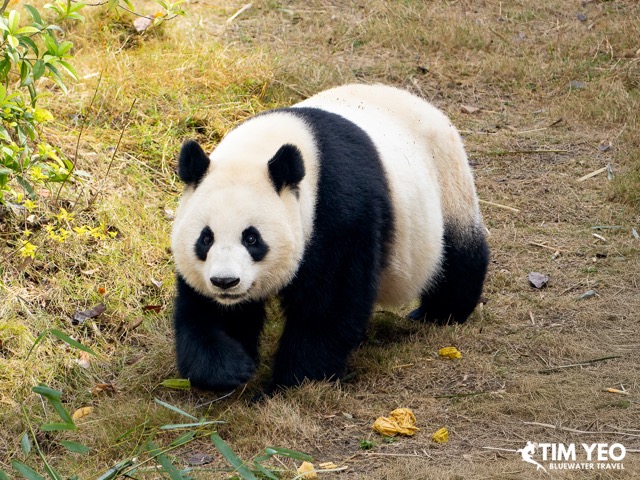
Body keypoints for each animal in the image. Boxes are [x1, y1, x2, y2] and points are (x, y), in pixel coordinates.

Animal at [171, 84, 489, 393]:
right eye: (205, 239)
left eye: (252, 239)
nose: (225, 282)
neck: (260, 150)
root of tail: (421, 103)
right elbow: (208, 310)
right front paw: (228, 369)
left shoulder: (337, 210)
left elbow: (328, 304)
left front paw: (292, 383)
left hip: (446, 183)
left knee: (458, 257)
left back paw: (439, 313)